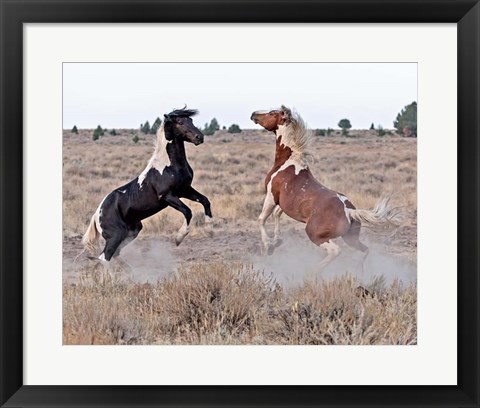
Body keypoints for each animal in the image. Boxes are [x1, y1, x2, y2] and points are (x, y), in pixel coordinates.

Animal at [81, 107, 213, 268]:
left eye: (191, 120)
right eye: (180, 122)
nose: (199, 137)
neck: (169, 166)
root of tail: (96, 215)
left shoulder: (185, 190)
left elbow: (205, 201)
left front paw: (209, 229)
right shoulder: (168, 196)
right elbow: (188, 212)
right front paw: (178, 239)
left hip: (133, 230)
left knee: (114, 254)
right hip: (116, 235)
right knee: (105, 257)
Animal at [251, 105, 402, 270]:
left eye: (272, 113)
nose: (253, 114)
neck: (289, 162)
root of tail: (349, 211)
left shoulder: (271, 196)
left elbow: (261, 219)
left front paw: (268, 247)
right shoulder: (283, 202)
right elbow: (277, 214)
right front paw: (277, 241)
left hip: (315, 234)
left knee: (336, 251)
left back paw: (312, 272)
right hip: (350, 238)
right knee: (364, 250)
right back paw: (358, 271)